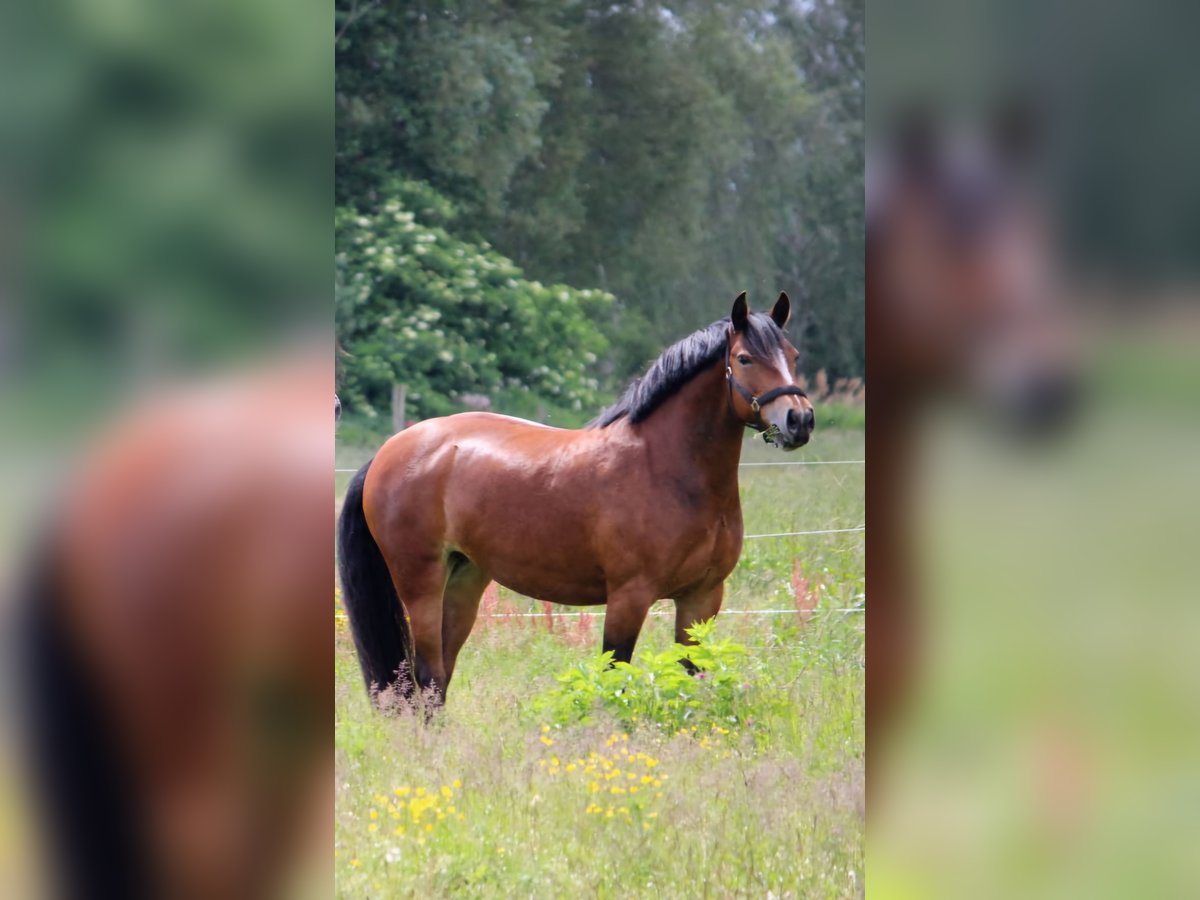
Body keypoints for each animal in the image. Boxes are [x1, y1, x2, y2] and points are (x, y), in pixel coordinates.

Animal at [338, 294, 816, 705]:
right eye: (744, 358)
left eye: (794, 356)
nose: (800, 420)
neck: (665, 468)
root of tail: (391, 449)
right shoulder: (628, 598)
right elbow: (615, 677)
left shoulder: (702, 599)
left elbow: (690, 677)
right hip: (420, 584)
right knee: (426, 676)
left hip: (464, 582)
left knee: (439, 681)